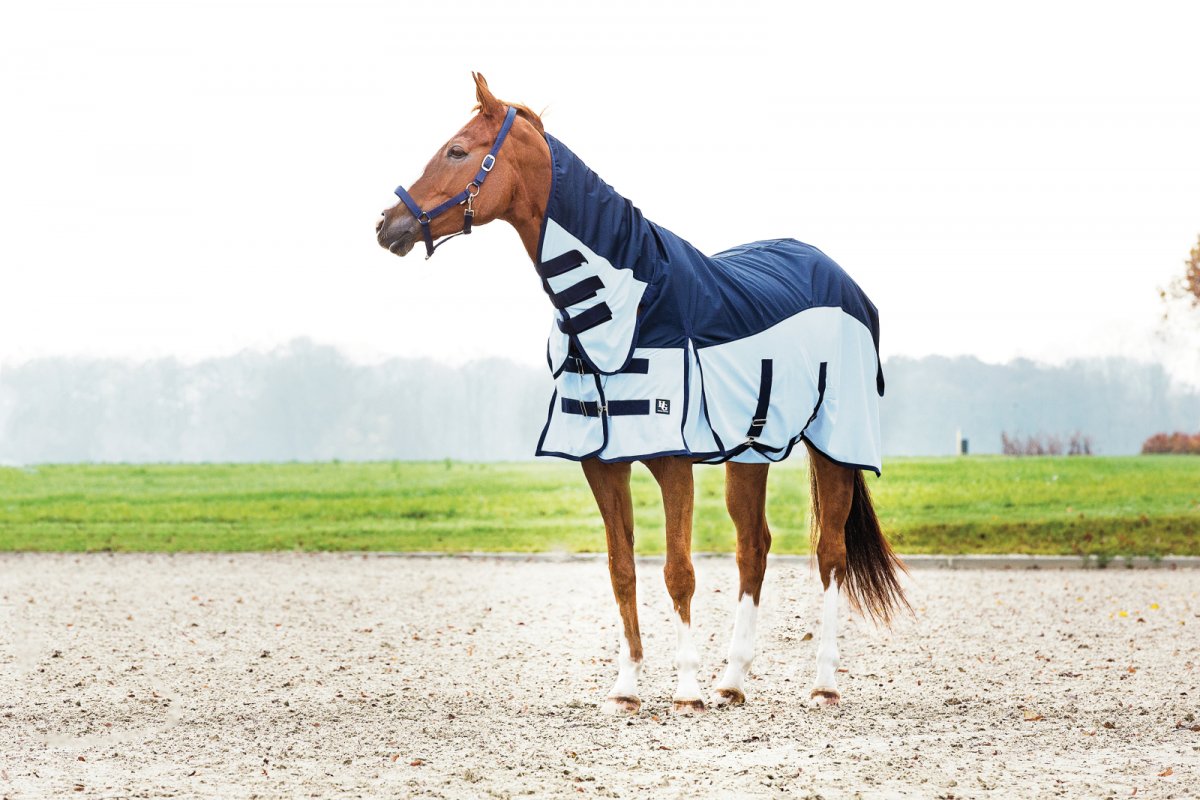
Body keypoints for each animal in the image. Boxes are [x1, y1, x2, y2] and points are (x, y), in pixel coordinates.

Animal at [376, 73, 908, 713]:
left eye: (456, 150)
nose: (387, 224)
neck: (629, 304)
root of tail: (840, 277)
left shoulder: (671, 461)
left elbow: (678, 570)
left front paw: (685, 689)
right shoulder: (602, 463)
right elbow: (621, 568)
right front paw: (627, 688)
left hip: (834, 443)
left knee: (829, 552)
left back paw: (822, 682)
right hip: (752, 452)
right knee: (753, 547)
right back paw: (733, 679)